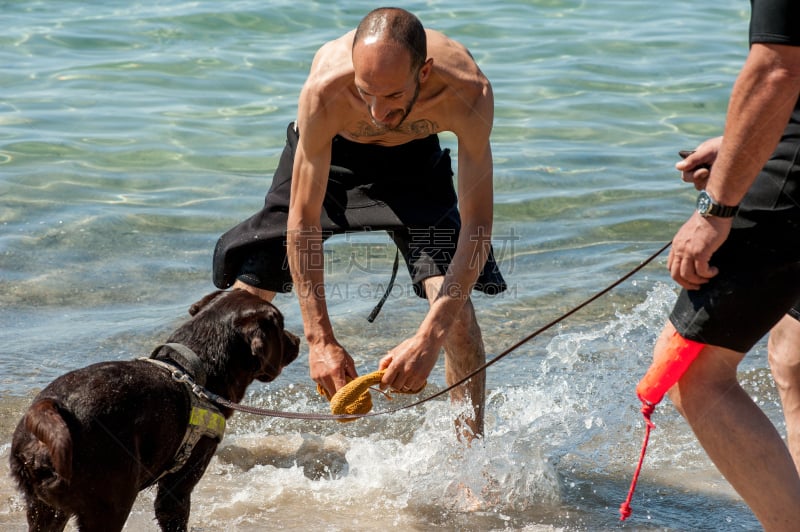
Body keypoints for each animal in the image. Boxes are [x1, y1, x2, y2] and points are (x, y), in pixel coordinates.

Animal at [7, 290, 302, 532]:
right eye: (281, 325)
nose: (298, 339)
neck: (194, 370)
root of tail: (50, 408)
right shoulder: (177, 490)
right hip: (109, 506)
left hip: (44, 510)